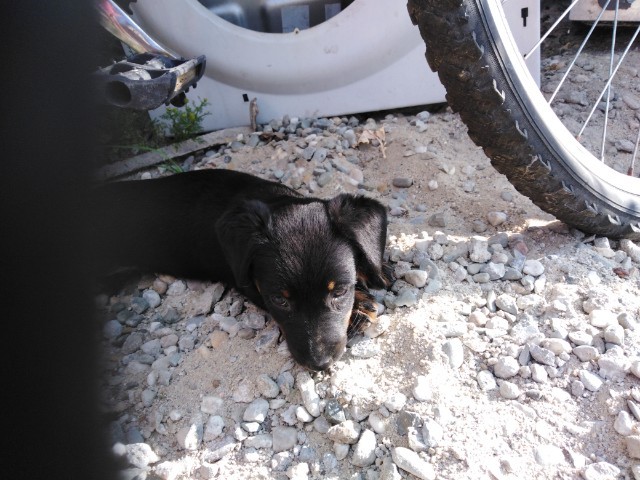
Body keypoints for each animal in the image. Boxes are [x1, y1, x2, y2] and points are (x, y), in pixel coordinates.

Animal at [91, 169, 389, 371]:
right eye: (279, 300)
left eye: (339, 291)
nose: (320, 364)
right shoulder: (247, 283)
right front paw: (360, 307)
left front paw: (377, 270)